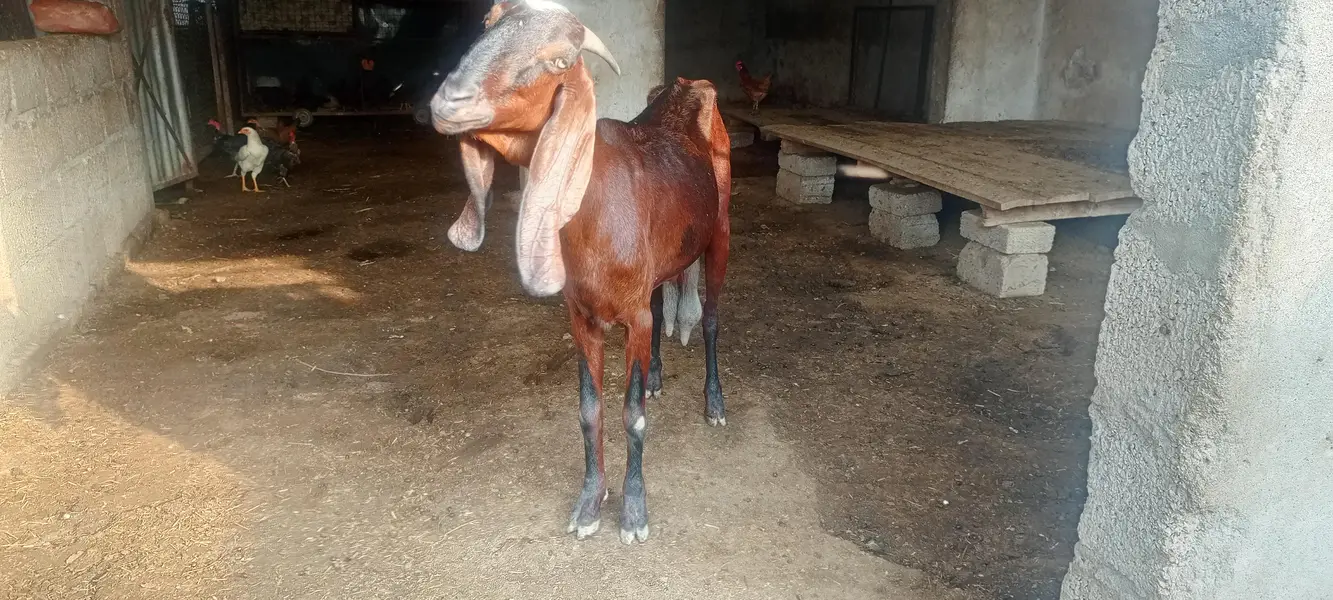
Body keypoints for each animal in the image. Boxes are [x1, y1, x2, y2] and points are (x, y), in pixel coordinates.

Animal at [430, 0, 731, 545]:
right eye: (485, 26)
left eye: (557, 61)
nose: (450, 101)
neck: (595, 208)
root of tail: (686, 83)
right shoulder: (582, 317)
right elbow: (589, 413)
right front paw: (590, 503)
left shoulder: (632, 318)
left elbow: (633, 417)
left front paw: (633, 513)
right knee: (661, 302)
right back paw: (656, 376)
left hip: (720, 230)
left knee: (713, 318)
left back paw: (715, 403)